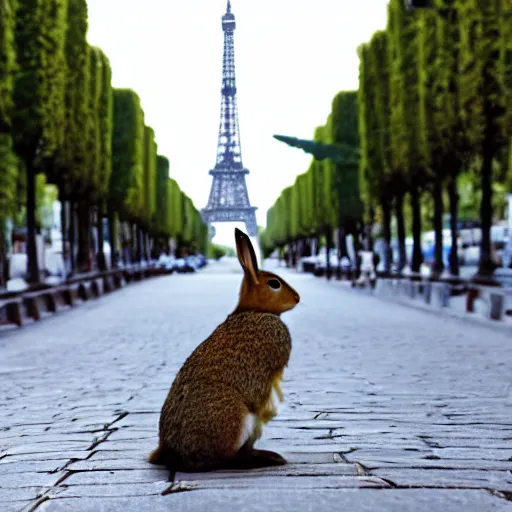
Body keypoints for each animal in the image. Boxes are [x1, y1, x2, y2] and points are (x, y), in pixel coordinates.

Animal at [148, 228, 300, 472]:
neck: (253, 310)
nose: (297, 298)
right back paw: (264, 459)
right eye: (274, 284)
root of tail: (170, 452)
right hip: (238, 418)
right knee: (224, 459)